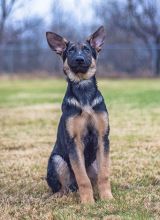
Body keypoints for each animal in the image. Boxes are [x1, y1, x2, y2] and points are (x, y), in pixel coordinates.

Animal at [45, 25, 113, 203]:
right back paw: (61, 196)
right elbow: (83, 178)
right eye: (70, 51)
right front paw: (88, 202)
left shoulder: (103, 138)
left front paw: (107, 198)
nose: (79, 60)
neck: (83, 89)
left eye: (87, 50)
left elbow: (104, 175)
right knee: (64, 187)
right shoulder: (74, 142)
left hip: (94, 161)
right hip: (57, 160)